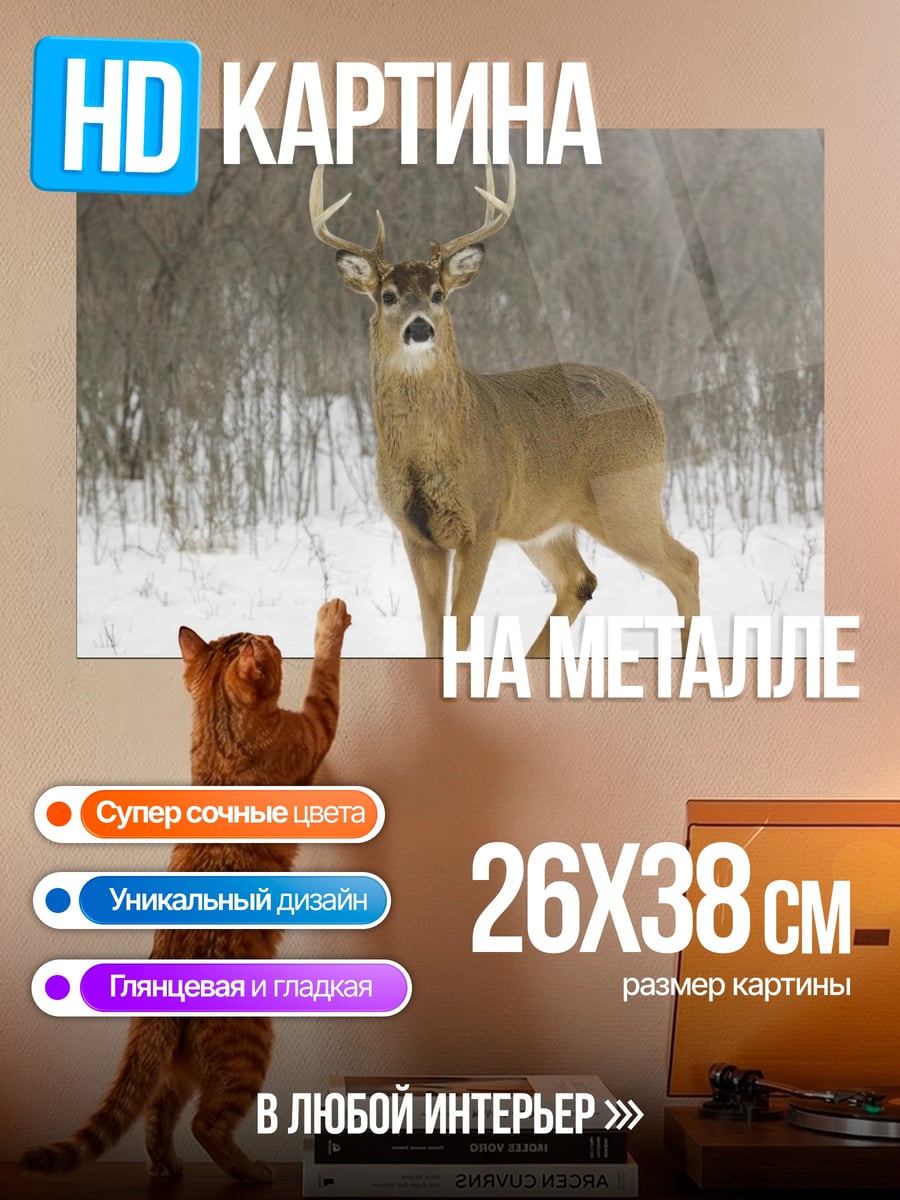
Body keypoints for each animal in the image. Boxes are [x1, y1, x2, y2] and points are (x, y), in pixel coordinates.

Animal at [309, 160, 700, 658]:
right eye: (388, 295)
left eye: (438, 294)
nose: (420, 329)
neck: (428, 452)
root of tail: (651, 403)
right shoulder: (416, 533)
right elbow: (433, 635)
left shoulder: (483, 519)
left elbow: (458, 631)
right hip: (546, 523)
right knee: (580, 580)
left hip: (627, 498)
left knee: (685, 565)